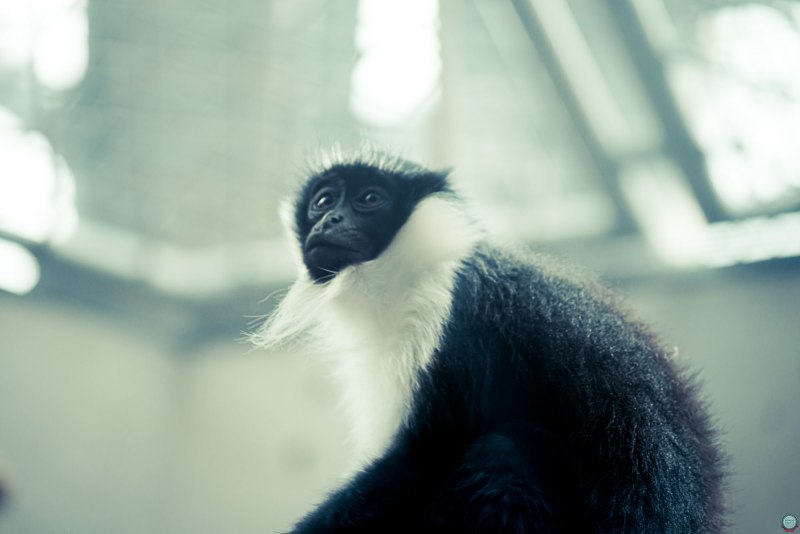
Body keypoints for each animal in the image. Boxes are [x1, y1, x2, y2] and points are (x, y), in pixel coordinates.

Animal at [252, 148, 726, 532]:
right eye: (322, 201)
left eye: (369, 199)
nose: (329, 219)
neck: (408, 274)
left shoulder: (453, 314)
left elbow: (423, 455)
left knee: (503, 452)